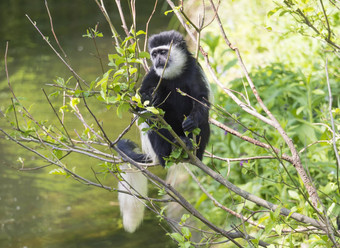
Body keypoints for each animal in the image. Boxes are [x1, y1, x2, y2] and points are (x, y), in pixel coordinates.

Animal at [117, 30, 209, 233]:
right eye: (154, 53)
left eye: (163, 52)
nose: (158, 59)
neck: (174, 75)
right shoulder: (153, 75)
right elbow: (139, 106)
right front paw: (151, 99)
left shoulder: (194, 70)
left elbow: (201, 100)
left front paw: (191, 121)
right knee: (153, 124)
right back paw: (168, 151)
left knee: (204, 123)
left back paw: (190, 145)